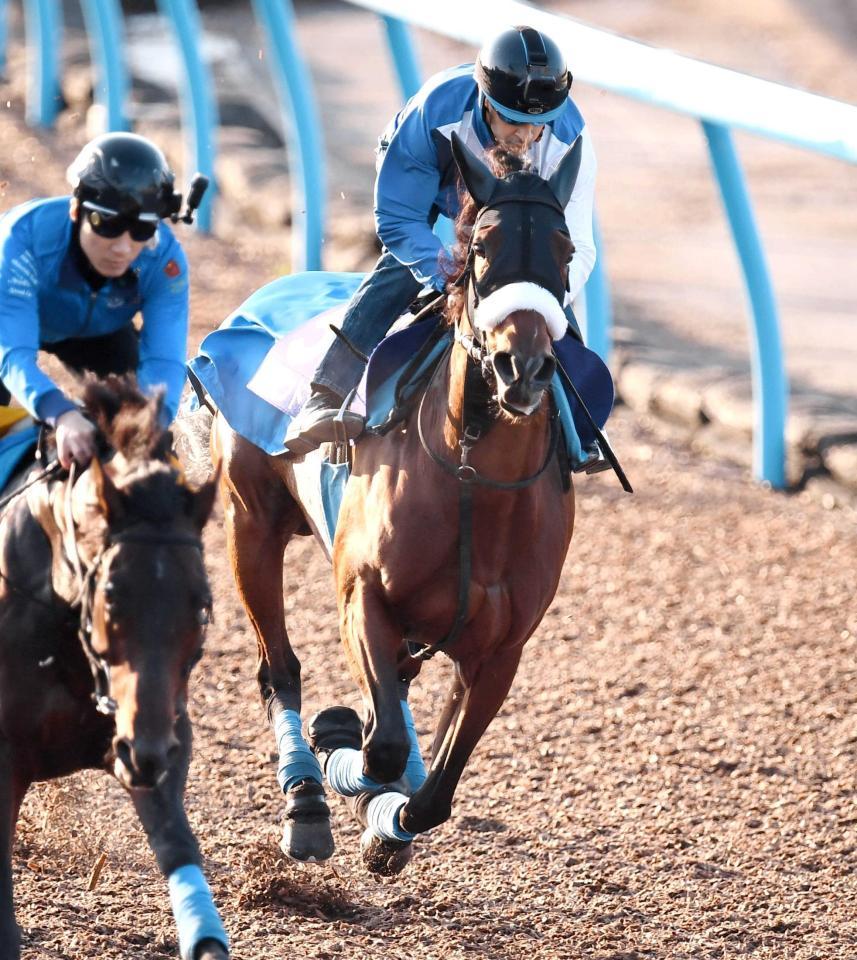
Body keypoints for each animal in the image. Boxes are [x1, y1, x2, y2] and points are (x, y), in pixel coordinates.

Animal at [209, 135, 580, 876]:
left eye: (567, 250)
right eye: (481, 248)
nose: (521, 368)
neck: (473, 485)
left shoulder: (500, 651)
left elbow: (433, 790)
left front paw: (389, 824)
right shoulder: (364, 597)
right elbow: (379, 747)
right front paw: (342, 753)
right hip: (250, 523)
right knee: (278, 669)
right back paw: (306, 798)